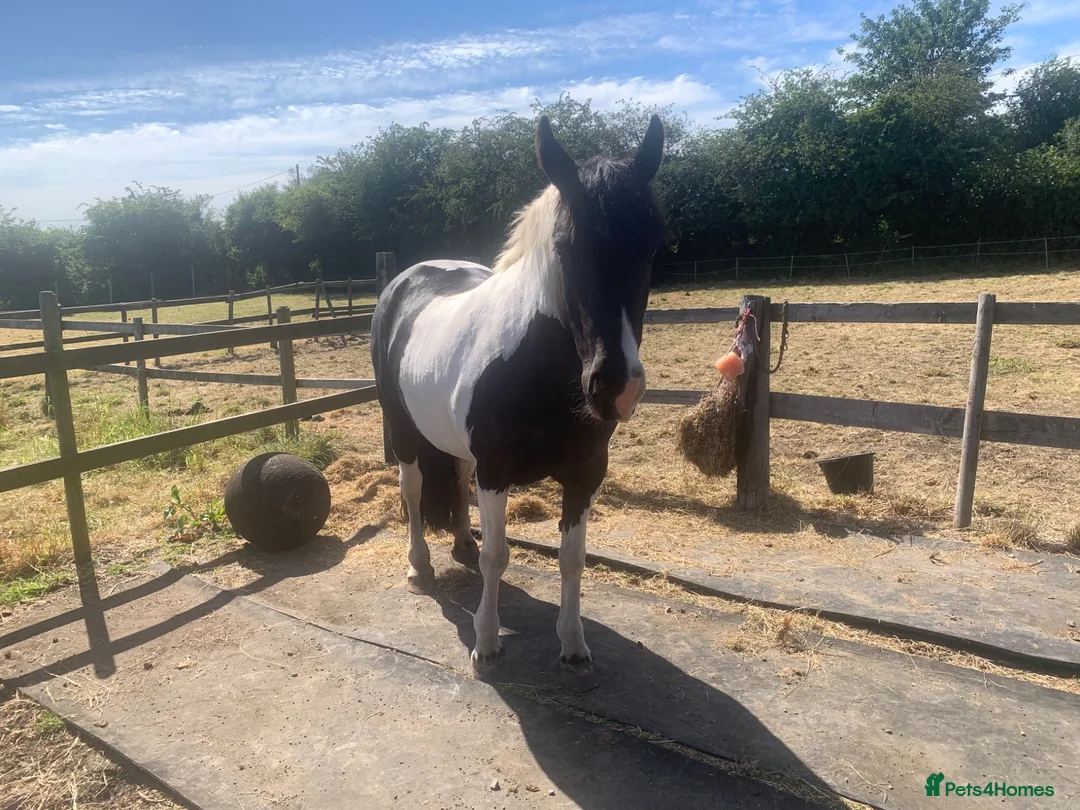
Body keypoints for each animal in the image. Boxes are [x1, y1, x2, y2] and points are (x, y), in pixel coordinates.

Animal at [371, 114, 666, 671]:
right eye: (566, 247)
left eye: (654, 246)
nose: (616, 387)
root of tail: (406, 279)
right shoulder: (496, 472)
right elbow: (498, 556)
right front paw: (486, 644)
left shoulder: (585, 473)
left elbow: (572, 558)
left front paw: (572, 643)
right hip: (402, 430)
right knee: (414, 491)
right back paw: (419, 567)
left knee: (454, 478)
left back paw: (461, 544)